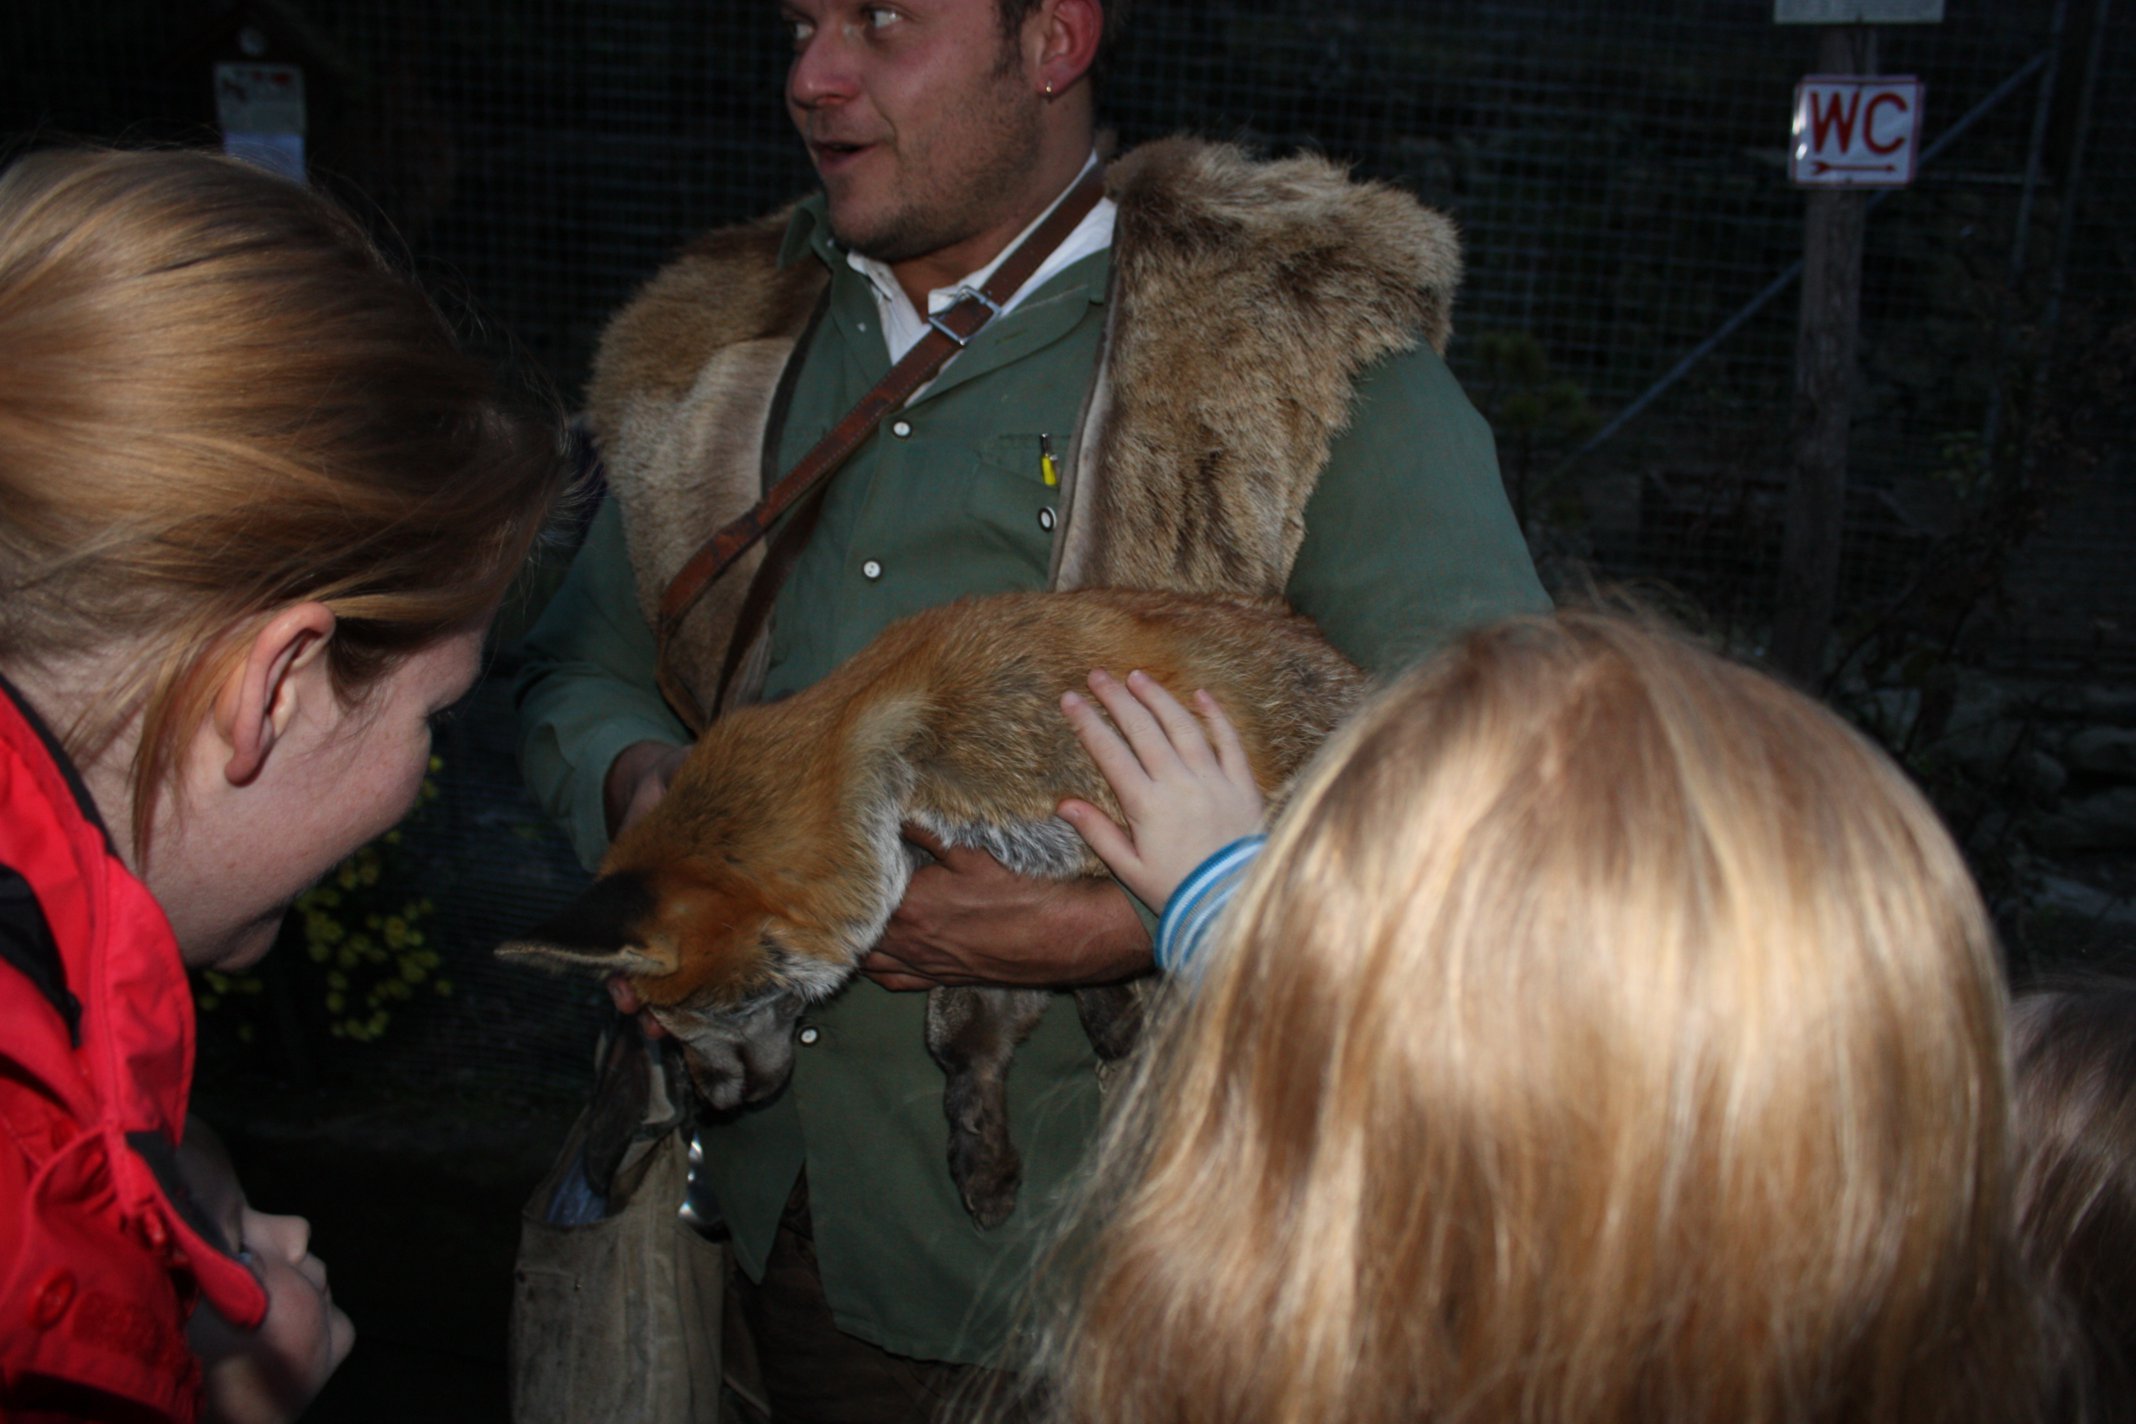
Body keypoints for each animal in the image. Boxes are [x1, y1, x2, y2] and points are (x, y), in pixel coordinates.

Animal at [508, 589, 1358, 1229]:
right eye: (660, 1026)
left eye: (687, 1018)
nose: (713, 1108)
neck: (892, 754)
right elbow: (964, 1039)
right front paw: (987, 1144)